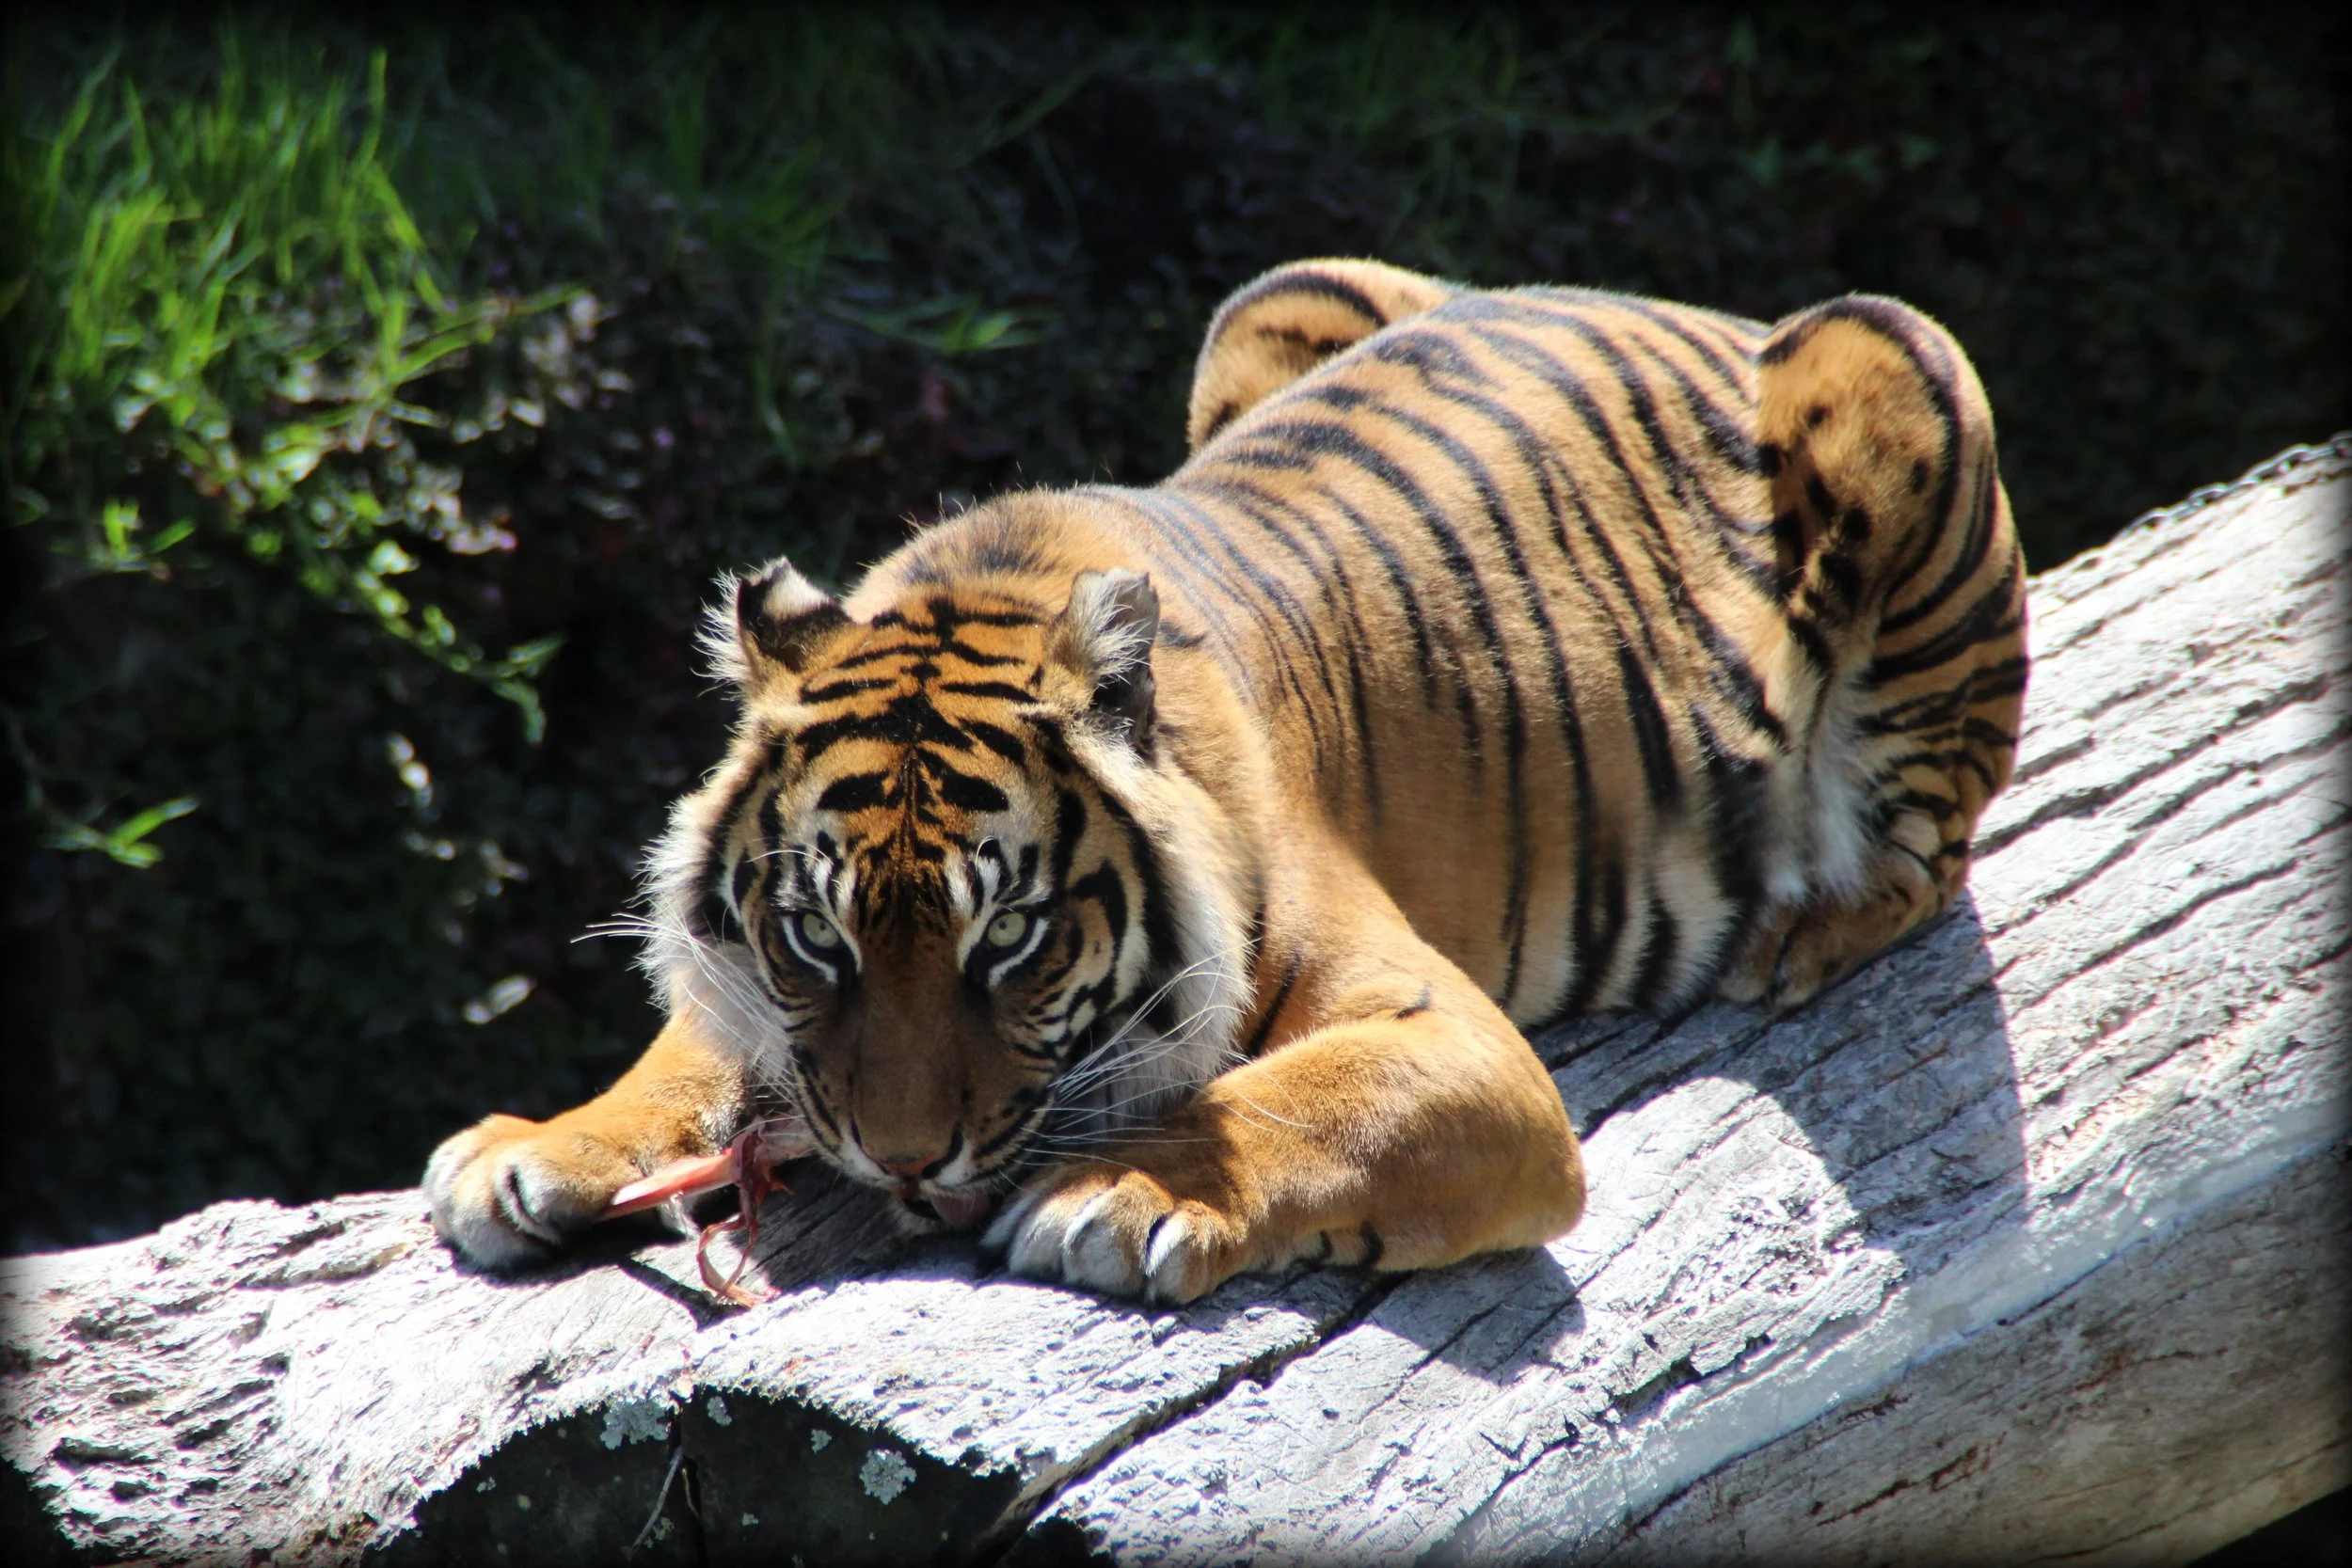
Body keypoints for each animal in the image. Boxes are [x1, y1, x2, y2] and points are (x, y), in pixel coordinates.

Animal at [425, 259, 2027, 1305]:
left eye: (1009, 938)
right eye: (819, 934)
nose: (902, 1160)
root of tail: (1713, 308)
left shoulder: (1453, 1037)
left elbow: (1294, 1098)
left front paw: (1124, 1191)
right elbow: (698, 1046)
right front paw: (535, 1147)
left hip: (1894, 361)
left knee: (1931, 838)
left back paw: (1797, 928)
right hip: (1276, 298)